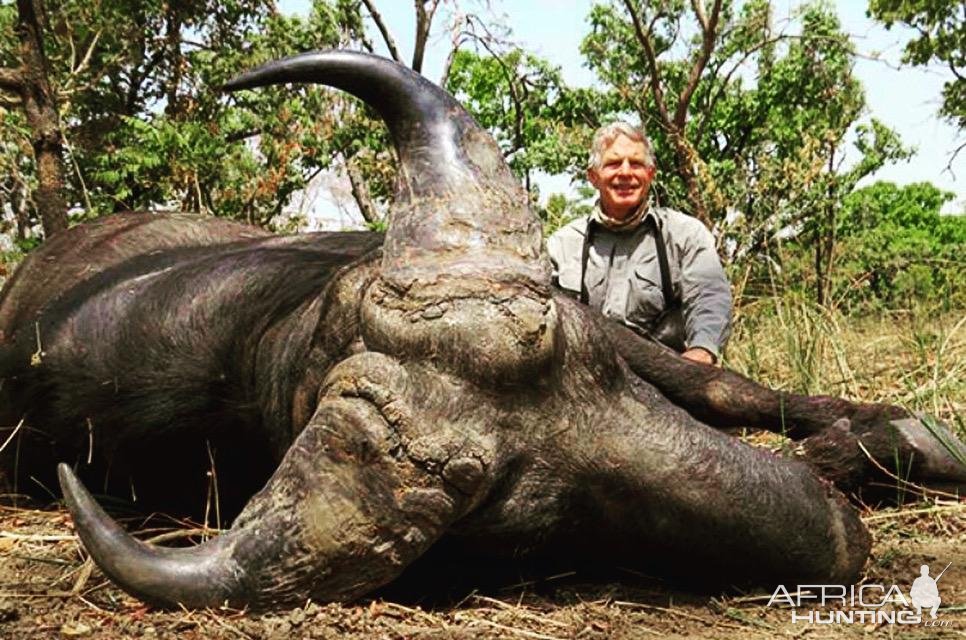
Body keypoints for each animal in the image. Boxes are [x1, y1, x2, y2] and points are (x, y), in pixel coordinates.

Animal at [1, 50, 966, 608]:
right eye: (539, 519)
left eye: (599, 368)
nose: (838, 535)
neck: (262, 342)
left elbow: (723, 383)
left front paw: (896, 439)